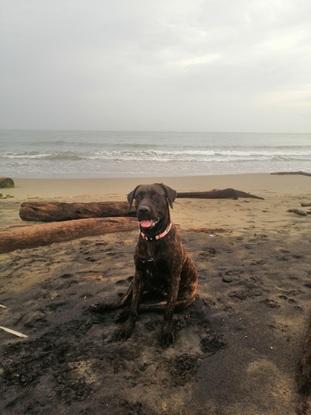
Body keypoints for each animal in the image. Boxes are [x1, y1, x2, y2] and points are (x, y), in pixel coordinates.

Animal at [92, 184, 200, 346]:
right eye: (138, 196)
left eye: (156, 196)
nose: (143, 210)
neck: (153, 238)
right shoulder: (139, 274)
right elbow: (133, 306)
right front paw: (127, 328)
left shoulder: (174, 279)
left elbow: (168, 311)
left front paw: (166, 332)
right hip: (136, 283)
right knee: (126, 301)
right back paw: (107, 307)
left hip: (181, 301)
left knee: (150, 306)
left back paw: (124, 312)